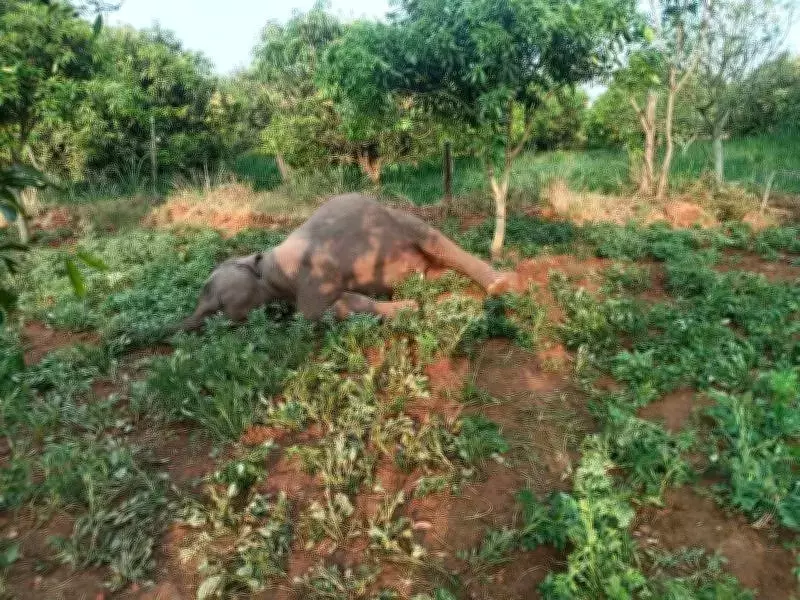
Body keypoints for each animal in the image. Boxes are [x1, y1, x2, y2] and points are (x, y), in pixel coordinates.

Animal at [176, 193, 516, 331]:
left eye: (213, 297)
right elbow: (328, 309)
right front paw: (408, 308)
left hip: (401, 221)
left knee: (432, 237)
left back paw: (499, 284)